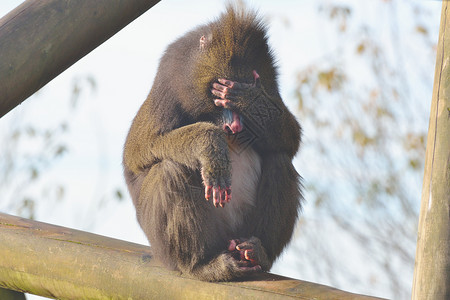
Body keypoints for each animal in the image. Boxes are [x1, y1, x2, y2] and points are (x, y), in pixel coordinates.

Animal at [123, 4, 302, 282]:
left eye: (247, 83)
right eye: (219, 88)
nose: (234, 126)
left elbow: (292, 139)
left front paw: (251, 101)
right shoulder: (168, 86)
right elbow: (140, 150)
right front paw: (209, 146)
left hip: (241, 232)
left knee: (280, 160)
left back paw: (258, 251)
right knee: (168, 171)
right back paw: (203, 264)